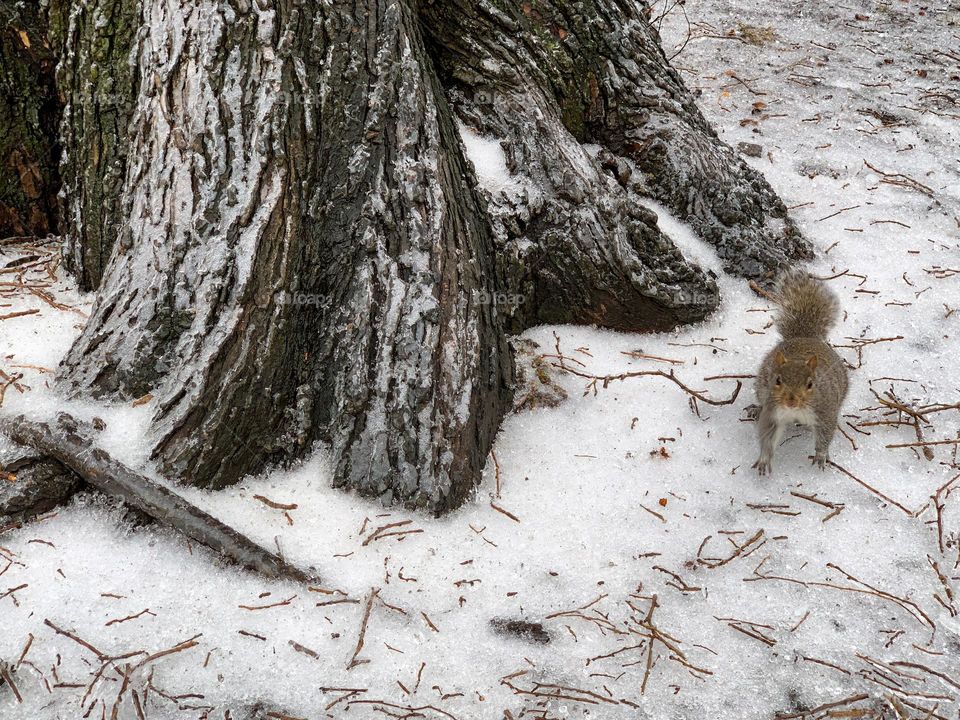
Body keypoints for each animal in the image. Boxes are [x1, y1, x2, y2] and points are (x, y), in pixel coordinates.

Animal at [752, 268, 848, 476]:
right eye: (777, 380)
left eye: (810, 384)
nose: (791, 401)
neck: (795, 411)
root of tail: (805, 336)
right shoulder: (773, 412)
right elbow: (768, 436)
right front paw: (764, 459)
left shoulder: (825, 411)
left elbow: (825, 434)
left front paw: (821, 455)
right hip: (761, 388)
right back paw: (755, 408)